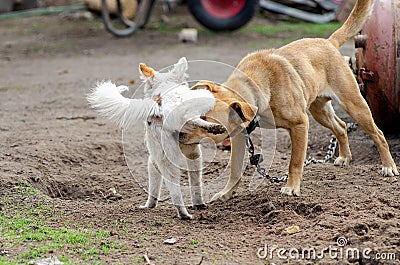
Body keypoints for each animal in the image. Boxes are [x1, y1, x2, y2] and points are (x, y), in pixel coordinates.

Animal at [87, 57, 225, 219]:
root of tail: (158, 104)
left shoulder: (155, 161)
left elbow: (155, 188)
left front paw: (149, 206)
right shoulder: (194, 152)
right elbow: (196, 182)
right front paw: (199, 203)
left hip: (164, 158)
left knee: (174, 189)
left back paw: (183, 213)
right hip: (203, 98)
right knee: (191, 117)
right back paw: (213, 126)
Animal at [180, 0, 398, 199]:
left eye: (211, 125)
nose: (180, 134)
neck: (254, 87)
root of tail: (329, 42)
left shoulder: (300, 125)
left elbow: (295, 162)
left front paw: (292, 187)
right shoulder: (239, 136)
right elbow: (234, 169)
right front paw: (226, 193)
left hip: (355, 105)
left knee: (378, 134)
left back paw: (388, 166)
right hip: (320, 111)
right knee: (341, 126)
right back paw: (345, 157)